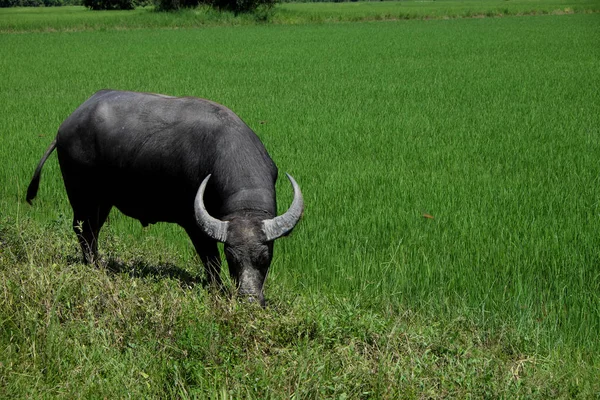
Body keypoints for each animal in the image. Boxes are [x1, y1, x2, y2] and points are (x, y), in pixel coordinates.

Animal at [25, 89, 302, 304]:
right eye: (231, 258)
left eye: (265, 257)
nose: (249, 298)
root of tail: (66, 126)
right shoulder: (194, 223)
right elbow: (210, 260)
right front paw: (218, 290)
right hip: (82, 195)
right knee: (82, 229)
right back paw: (94, 267)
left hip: (103, 200)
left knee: (93, 230)